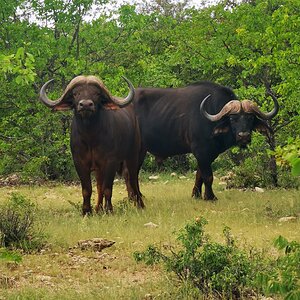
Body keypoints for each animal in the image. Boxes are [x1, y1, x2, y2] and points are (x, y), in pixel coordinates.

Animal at [39, 76, 145, 214]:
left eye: (97, 93)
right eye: (75, 93)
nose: (85, 104)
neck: (91, 138)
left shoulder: (111, 162)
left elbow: (108, 188)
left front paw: (109, 210)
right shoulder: (79, 162)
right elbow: (87, 189)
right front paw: (87, 211)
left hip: (133, 156)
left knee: (132, 179)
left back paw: (140, 205)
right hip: (100, 169)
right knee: (100, 186)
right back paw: (98, 208)